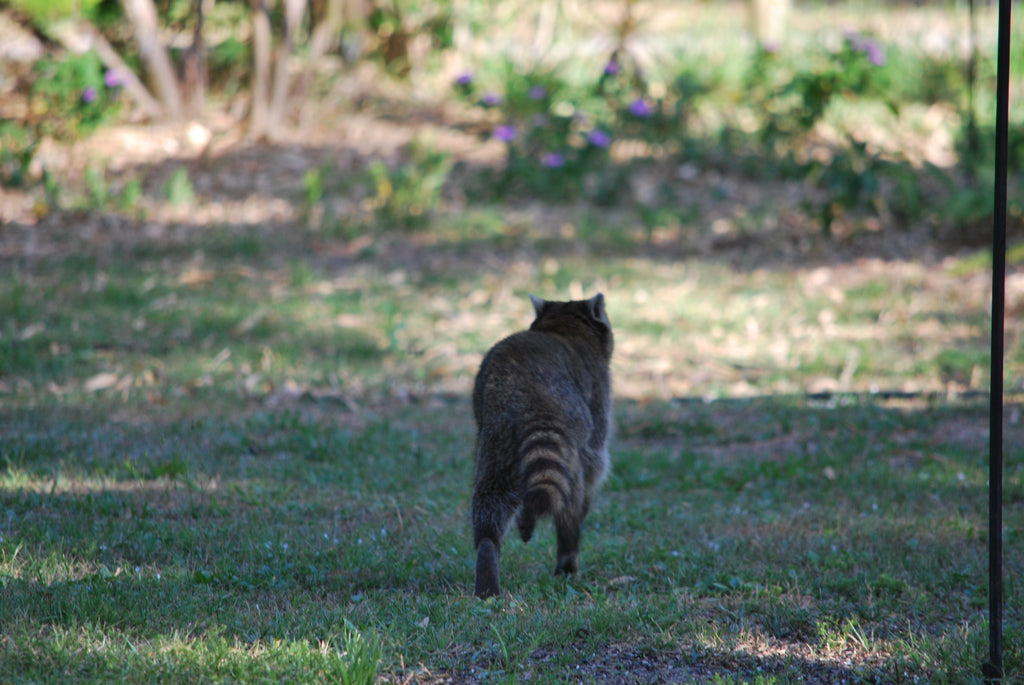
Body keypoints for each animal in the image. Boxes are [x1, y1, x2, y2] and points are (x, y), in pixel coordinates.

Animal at [468, 290, 610, 593]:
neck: (564, 326)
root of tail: (530, 393)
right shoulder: (599, 393)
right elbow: (596, 462)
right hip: (572, 432)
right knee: (571, 500)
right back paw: (567, 558)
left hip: (496, 440)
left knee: (490, 499)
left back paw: (487, 551)